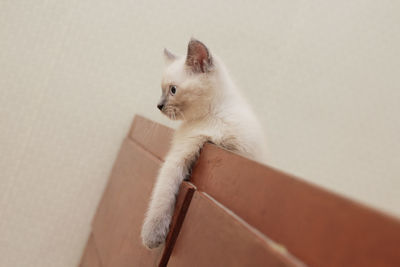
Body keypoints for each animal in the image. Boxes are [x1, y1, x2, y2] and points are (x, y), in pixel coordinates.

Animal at [141, 38, 266, 249]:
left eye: (173, 90)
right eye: (161, 90)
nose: (159, 106)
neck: (213, 116)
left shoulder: (243, 153)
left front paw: (151, 238)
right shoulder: (181, 154)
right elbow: (163, 194)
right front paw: (153, 237)